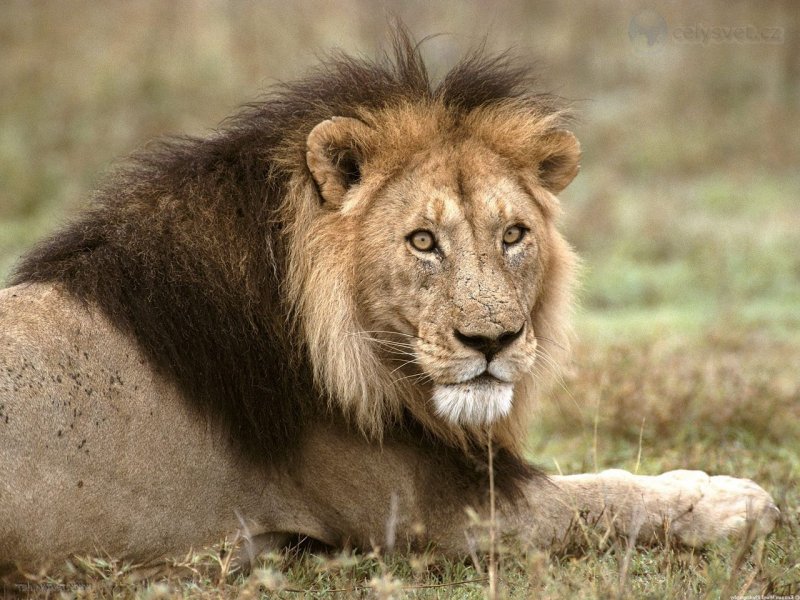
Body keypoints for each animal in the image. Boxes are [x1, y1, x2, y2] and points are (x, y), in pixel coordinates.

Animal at [0, 29, 780, 576]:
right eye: (423, 241)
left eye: (514, 235)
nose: (492, 342)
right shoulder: (435, 514)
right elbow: (600, 497)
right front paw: (738, 501)